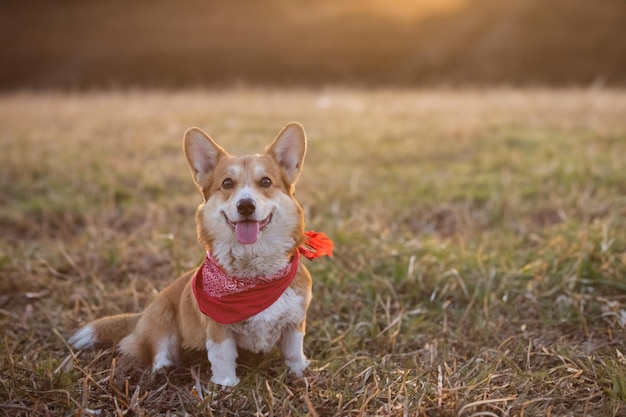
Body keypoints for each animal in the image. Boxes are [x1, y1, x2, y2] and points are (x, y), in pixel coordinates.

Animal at [68, 122, 332, 386]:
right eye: (227, 183)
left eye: (266, 182)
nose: (246, 206)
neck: (254, 277)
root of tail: (141, 316)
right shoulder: (218, 328)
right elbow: (222, 356)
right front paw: (226, 386)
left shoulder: (294, 324)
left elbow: (294, 352)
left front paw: (301, 374)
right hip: (162, 317)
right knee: (159, 350)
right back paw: (163, 370)